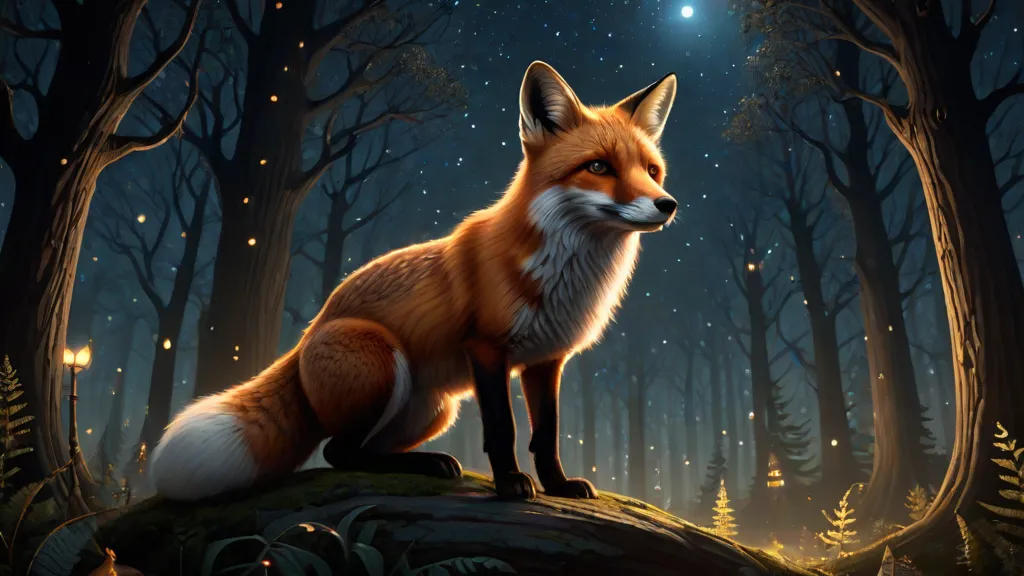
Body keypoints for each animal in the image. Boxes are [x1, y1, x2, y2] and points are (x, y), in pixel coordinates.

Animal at [150, 61, 677, 501]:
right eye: (598, 167)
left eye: (652, 170)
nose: (667, 204)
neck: (563, 274)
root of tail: (304, 337)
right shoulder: (486, 349)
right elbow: (503, 430)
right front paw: (510, 484)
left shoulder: (547, 360)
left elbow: (545, 436)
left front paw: (559, 486)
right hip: (383, 364)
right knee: (338, 452)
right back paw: (428, 465)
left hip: (434, 409)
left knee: (361, 451)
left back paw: (430, 463)